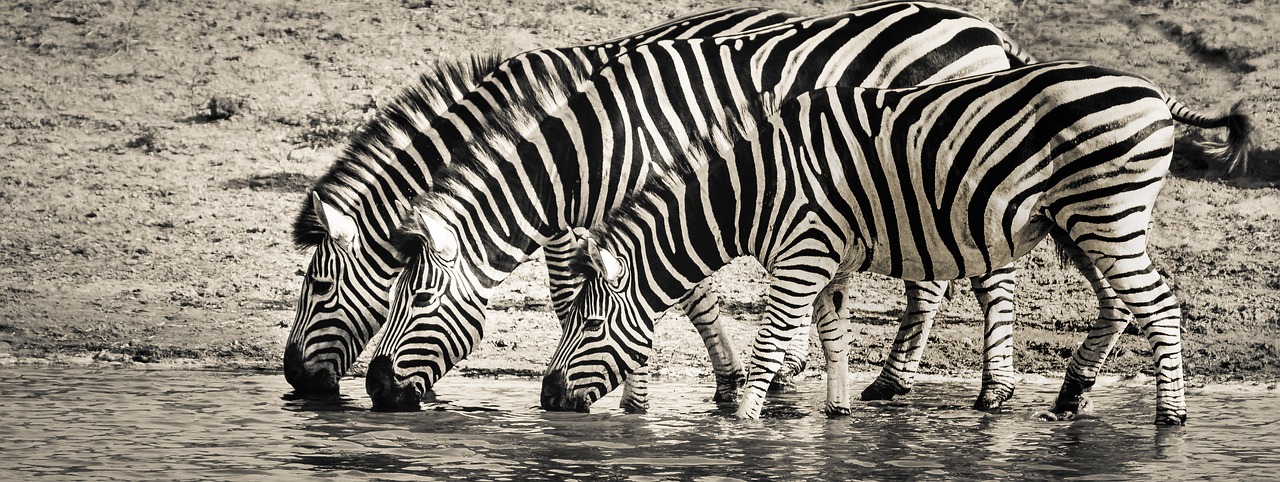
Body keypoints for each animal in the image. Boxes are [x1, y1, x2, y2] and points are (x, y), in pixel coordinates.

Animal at [360, 2, 1049, 409]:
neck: (589, 143)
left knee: (983, 279)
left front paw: (647, 397)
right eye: (386, 295)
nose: (374, 389)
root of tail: (988, 32)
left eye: (419, 299)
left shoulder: (643, 197)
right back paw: (879, 381)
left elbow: (651, 291)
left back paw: (989, 392)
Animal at [542, 59, 1249, 419]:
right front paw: (834, 415)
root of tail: (1155, 91)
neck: (752, 191)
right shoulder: (825, 259)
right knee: (1121, 304)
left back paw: (1170, 421)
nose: (546, 400)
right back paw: (1069, 399)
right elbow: (831, 338)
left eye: (590, 326)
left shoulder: (802, 256)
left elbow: (771, 348)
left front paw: (740, 425)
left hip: (1107, 215)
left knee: (1160, 306)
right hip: (1080, 224)